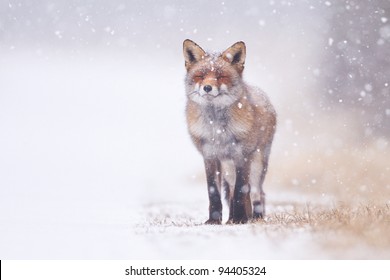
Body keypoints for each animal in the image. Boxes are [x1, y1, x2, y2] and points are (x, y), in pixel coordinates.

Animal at [184, 39, 278, 224]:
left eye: (221, 76)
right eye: (201, 76)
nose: (207, 87)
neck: (217, 129)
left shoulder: (242, 156)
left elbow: (241, 191)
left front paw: (241, 219)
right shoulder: (210, 156)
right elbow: (214, 192)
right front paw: (214, 221)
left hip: (257, 164)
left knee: (256, 192)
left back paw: (254, 217)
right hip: (228, 167)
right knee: (234, 190)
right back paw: (231, 219)